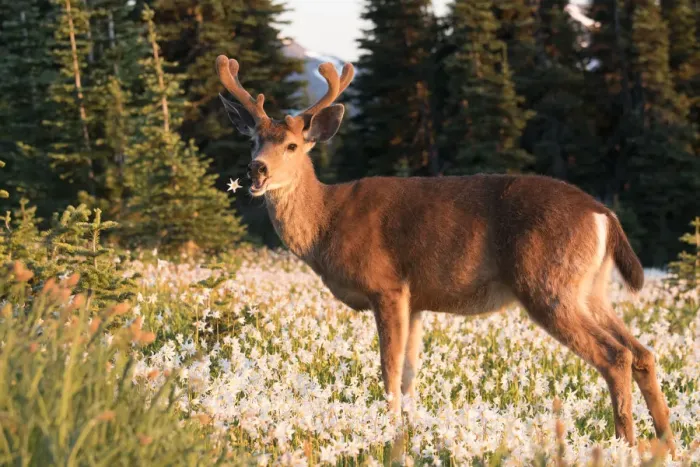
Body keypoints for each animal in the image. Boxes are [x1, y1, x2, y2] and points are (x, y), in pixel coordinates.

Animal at [215, 55, 676, 455]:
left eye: (293, 145)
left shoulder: (387, 286)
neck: (327, 221)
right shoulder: (417, 301)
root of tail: (603, 214)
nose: (257, 170)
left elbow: (389, 369)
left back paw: (625, 445)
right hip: (591, 288)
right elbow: (409, 375)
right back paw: (667, 445)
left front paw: (388, 432)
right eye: (254, 140)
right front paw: (408, 431)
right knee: (643, 352)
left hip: (548, 283)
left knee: (616, 356)